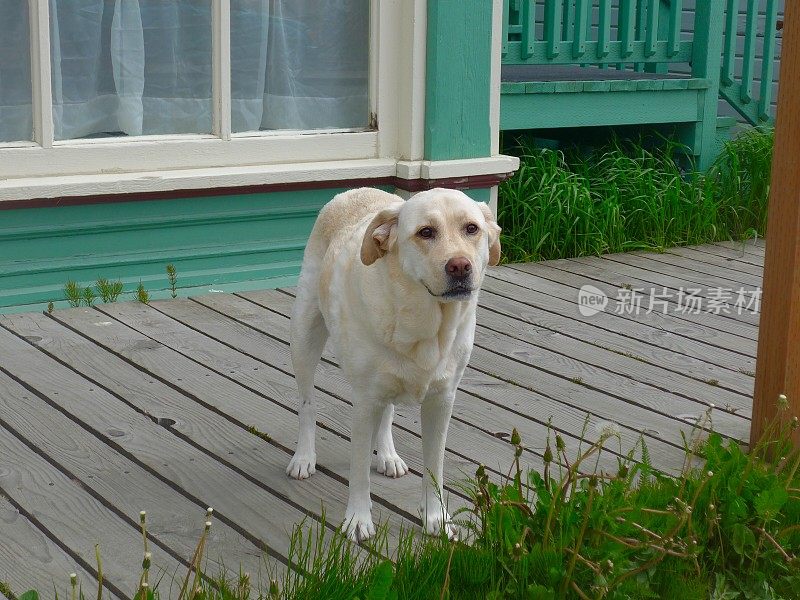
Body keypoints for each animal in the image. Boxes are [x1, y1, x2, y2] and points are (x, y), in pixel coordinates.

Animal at [288, 186, 500, 540]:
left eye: (472, 229)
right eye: (426, 232)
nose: (460, 266)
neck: (425, 324)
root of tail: (356, 190)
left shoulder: (441, 401)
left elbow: (434, 466)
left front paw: (437, 518)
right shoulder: (363, 401)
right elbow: (359, 468)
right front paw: (358, 520)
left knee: (386, 413)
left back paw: (387, 454)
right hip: (304, 335)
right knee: (307, 404)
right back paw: (304, 456)